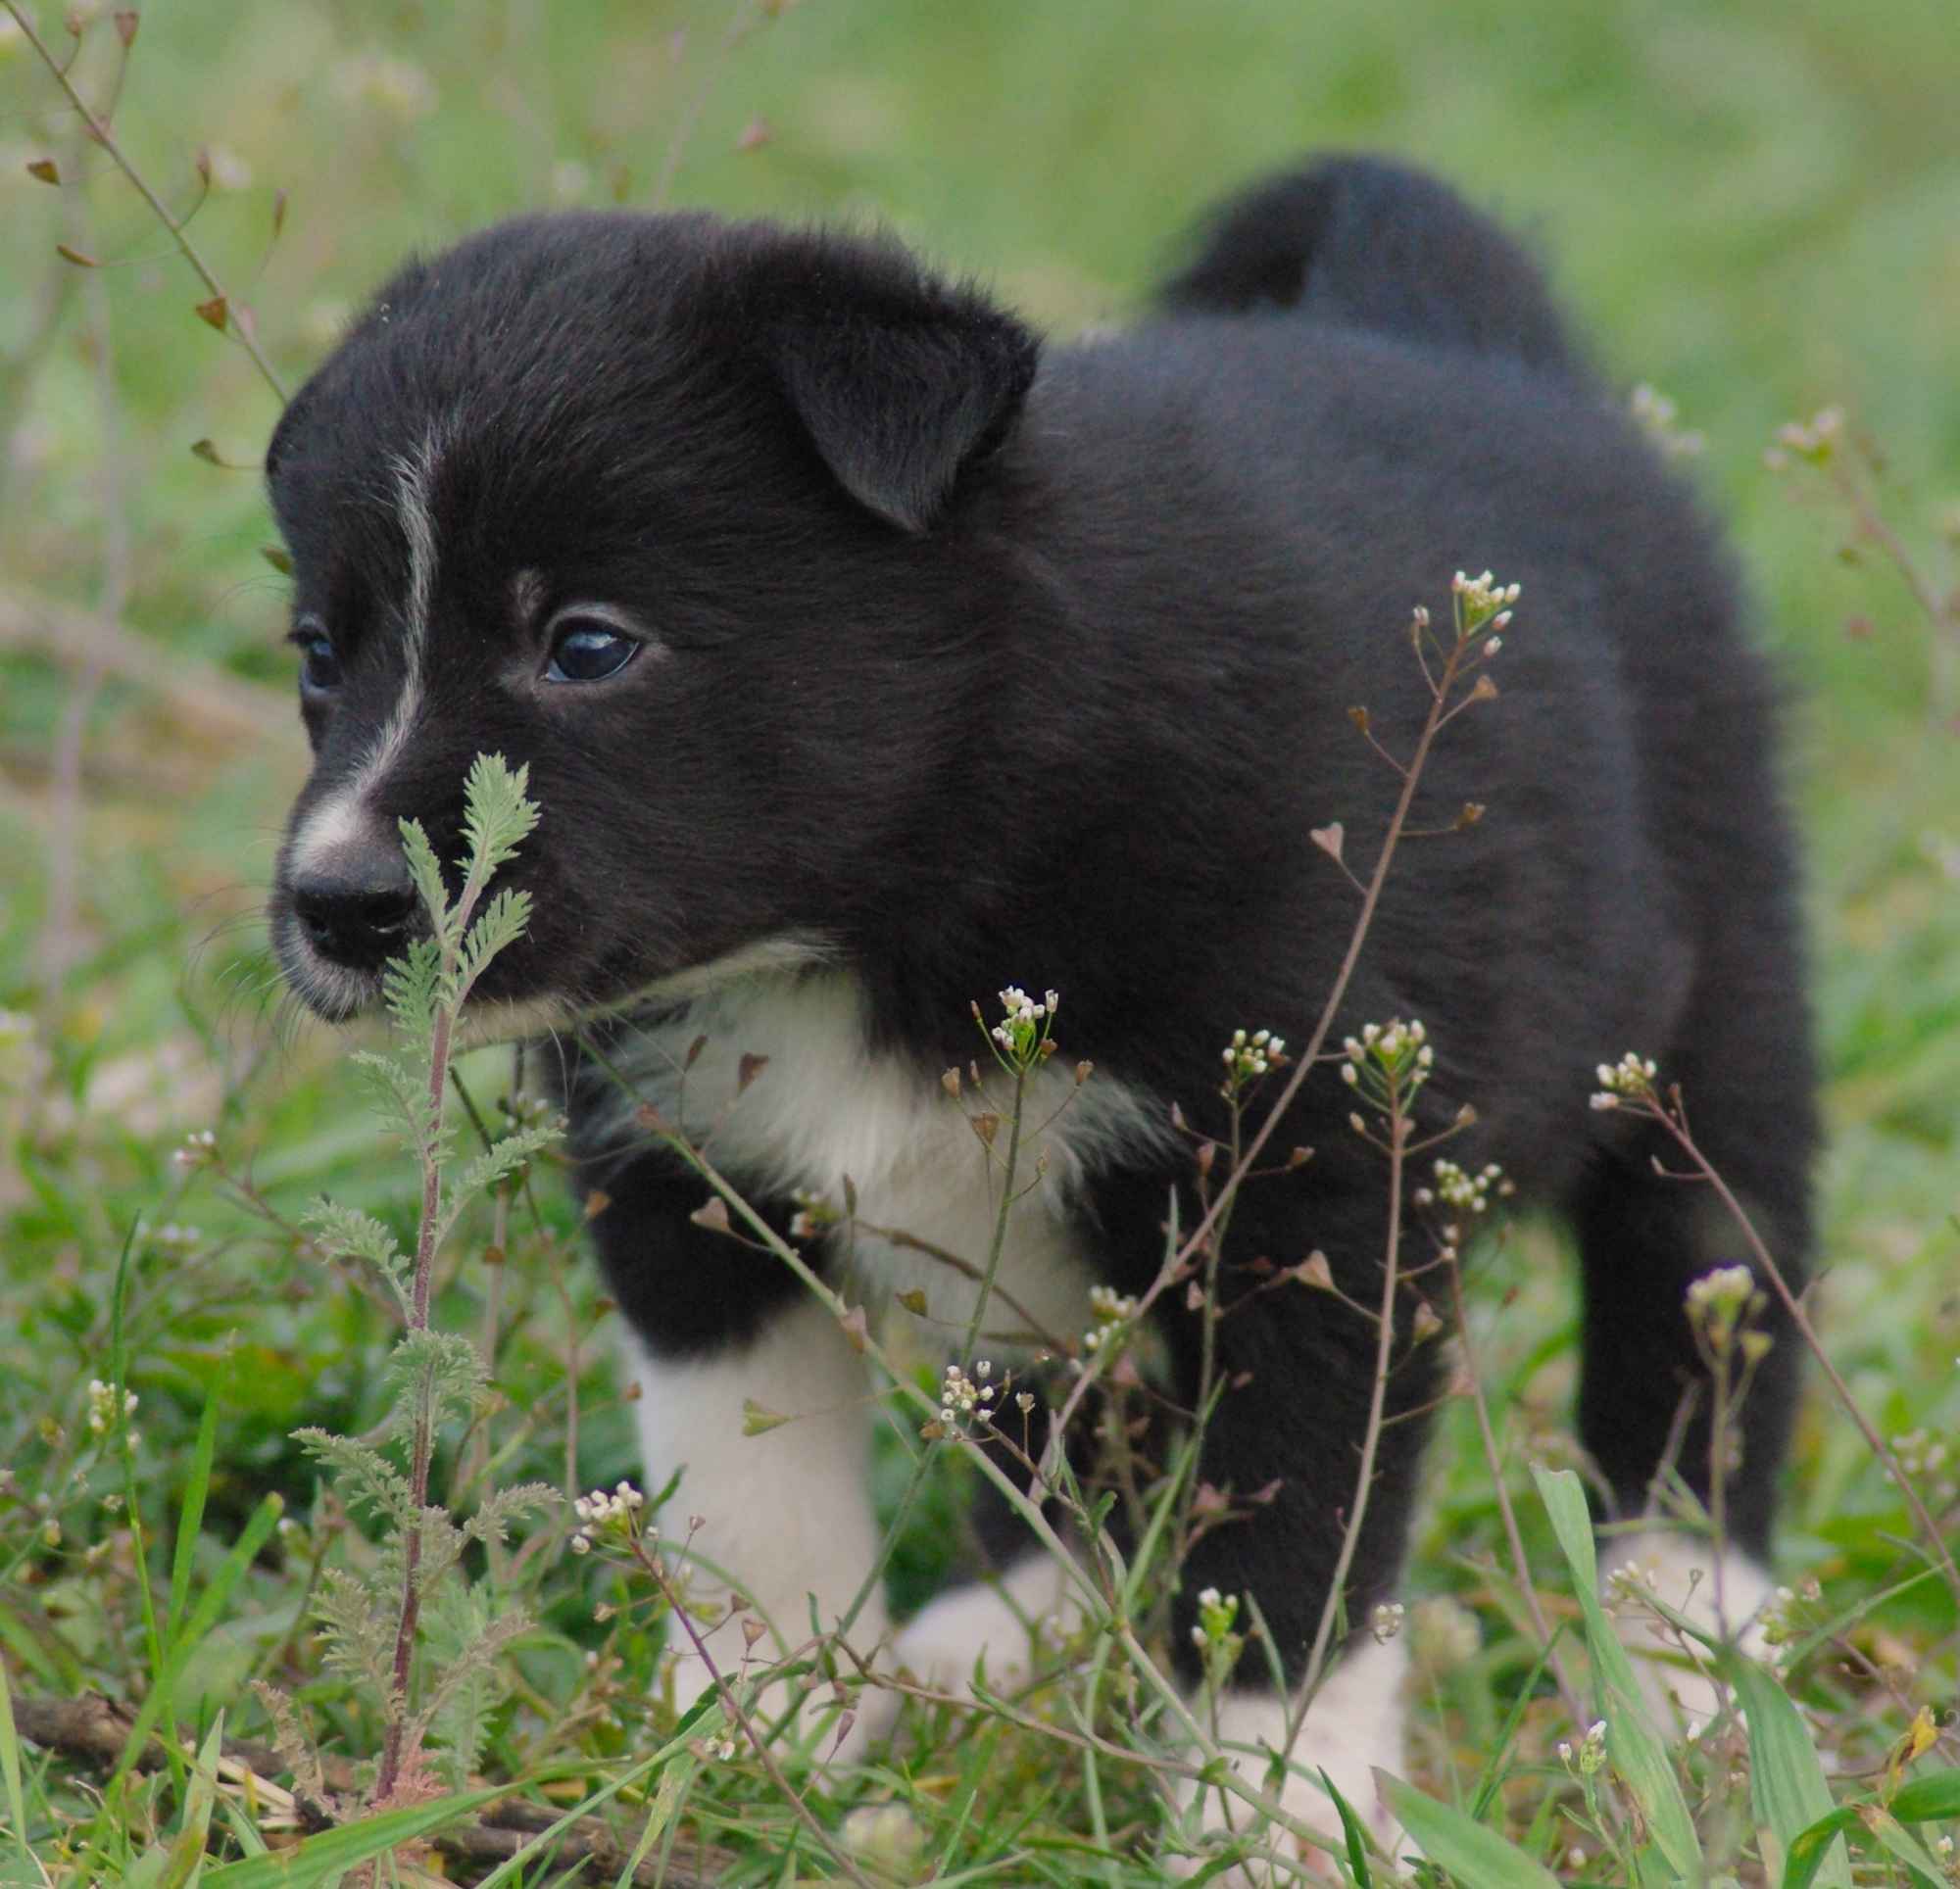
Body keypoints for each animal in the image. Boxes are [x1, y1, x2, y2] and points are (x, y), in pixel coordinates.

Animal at [269, 155, 1811, 1834]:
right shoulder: (688, 1183)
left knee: (1704, 1318)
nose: (338, 907)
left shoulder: (1321, 1201)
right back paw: (997, 1639)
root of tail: (1459, 328)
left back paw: (1695, 1659)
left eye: (589, 645)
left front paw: (1273, 1816)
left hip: (1713, 1022)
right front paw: (750, 1737)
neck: (898, 898)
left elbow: (1287, 1555)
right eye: (320, 654)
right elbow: (750, 1492)